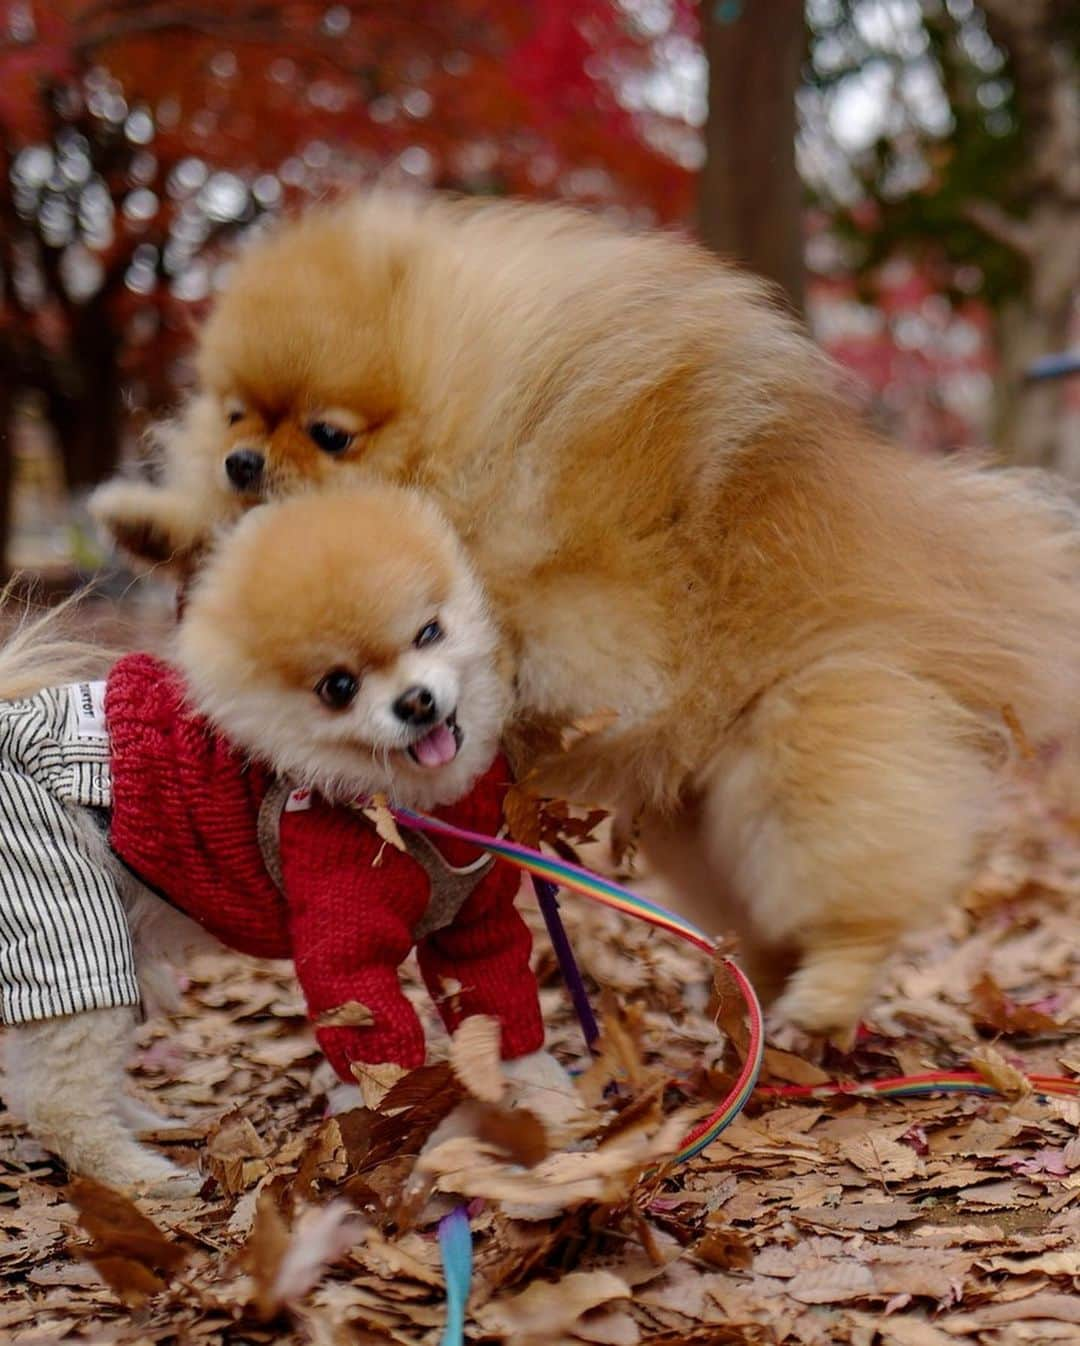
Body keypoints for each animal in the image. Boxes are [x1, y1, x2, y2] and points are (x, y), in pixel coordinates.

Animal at [0, 481, 522, 1189]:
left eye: (430, 632)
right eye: (338, 688)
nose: (416, 702)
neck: (389, 801)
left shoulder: (474, 922)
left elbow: (502, 1007)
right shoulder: (341, 944)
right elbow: (381, 1054)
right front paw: (401, 1148)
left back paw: (145, 1124)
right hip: (68, 915)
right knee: (59, 1098)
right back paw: (144, 1175)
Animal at [90, 192, 1077, 1028]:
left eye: (329, 434)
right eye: (236, 416)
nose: (244, 463)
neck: (465, 430)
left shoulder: (610, 612)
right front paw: (156, 521)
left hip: (811, 748)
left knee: (857, 897)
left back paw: (823, 999)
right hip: (703, 832)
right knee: (762, 919)